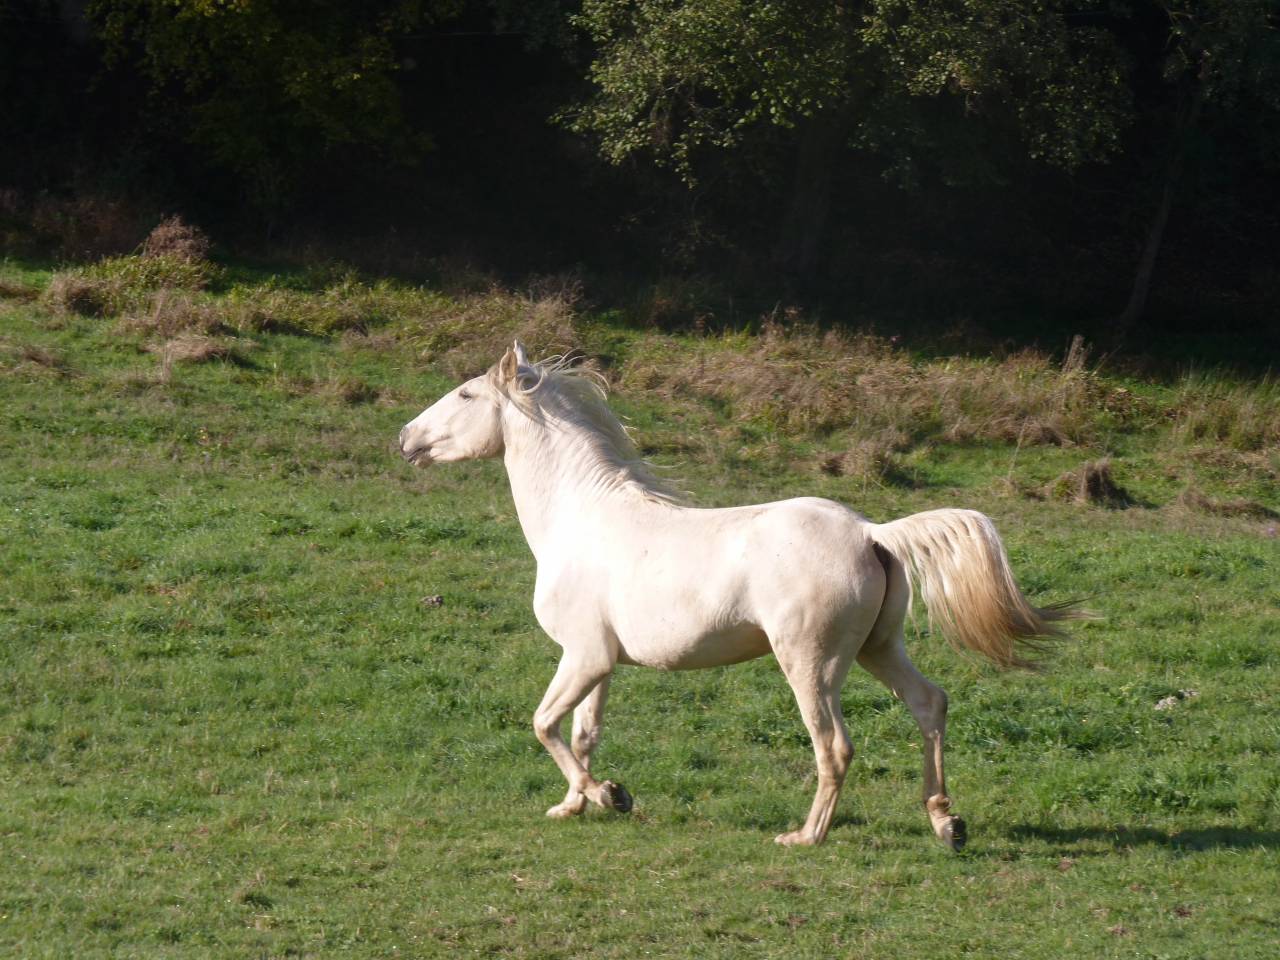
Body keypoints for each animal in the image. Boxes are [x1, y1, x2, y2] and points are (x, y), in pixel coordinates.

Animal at [398, 341, 1081, 849]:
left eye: (465, 395)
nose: (405, 438)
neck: (580, 518)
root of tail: (871, 532)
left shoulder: (584, 655)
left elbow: (544, 724)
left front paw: (608, 795)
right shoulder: (600, 661)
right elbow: (583, 733)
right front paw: (576, 805)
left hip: (811, 663)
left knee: (835, 745)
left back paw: (805, 837)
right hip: (879, 648)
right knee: (929, 704)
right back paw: (946, 822)